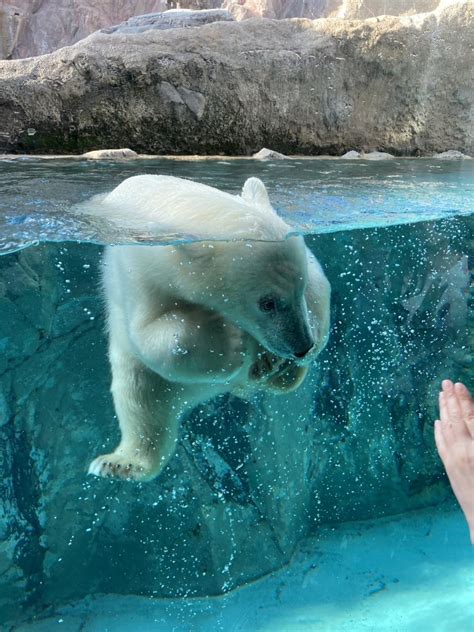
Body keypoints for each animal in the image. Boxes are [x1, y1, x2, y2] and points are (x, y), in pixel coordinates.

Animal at [87, 175, 330, 482]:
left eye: (299, 288)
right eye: (267, 303)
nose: (301, 347)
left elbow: (320, 284)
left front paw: (278, 357)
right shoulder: (139, 275)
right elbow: (150, 334)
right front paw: (228, 340)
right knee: (141, 397)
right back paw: (119, 463)